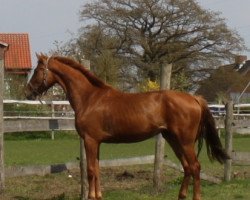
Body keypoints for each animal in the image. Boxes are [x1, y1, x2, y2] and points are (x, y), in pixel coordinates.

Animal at [24, 54, 229, 200]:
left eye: (38, 69)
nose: (28, 92)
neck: (90, 97)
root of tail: (195, 98)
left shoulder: (90, 140)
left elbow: (90, 171)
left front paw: (91, 196)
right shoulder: (97, 142)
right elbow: (97, 169)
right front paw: (98, 196)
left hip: (184, 141)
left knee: (195, 167)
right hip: (173, 140)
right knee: (187, 167)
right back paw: (181, 196)